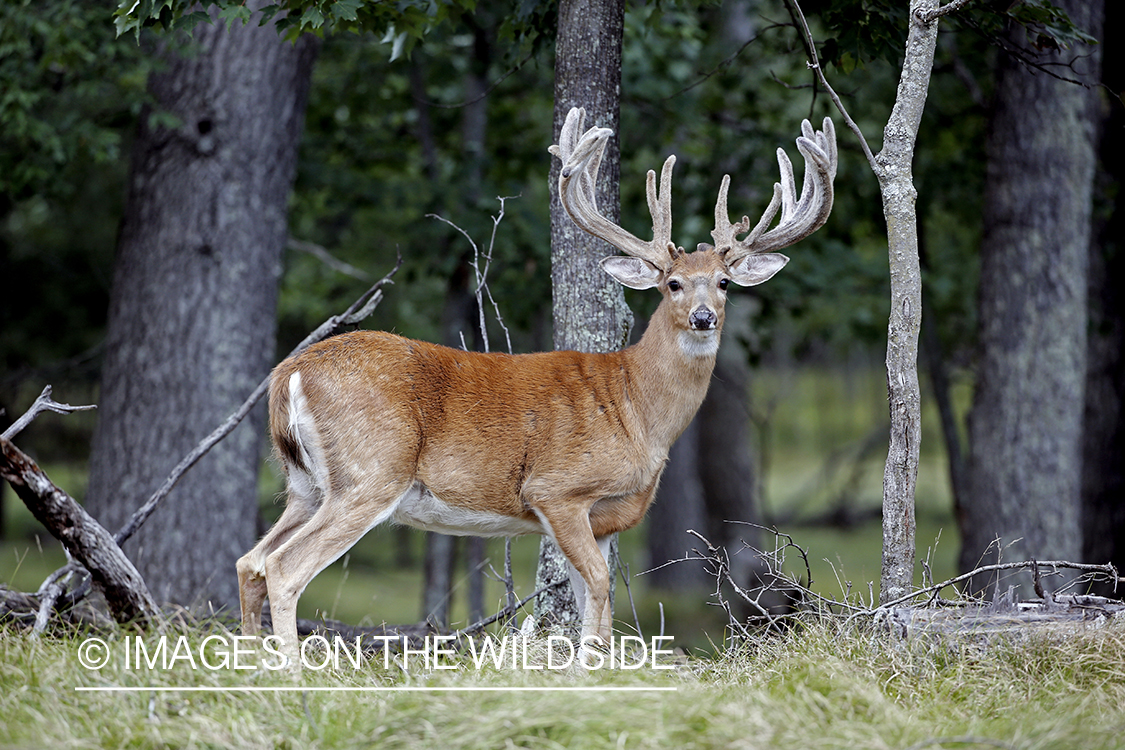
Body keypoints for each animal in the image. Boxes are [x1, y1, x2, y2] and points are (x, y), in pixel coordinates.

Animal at [237, 106, 837, 670]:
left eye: (725, 282)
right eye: (672, 284)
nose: (704, 317)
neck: (637, 408)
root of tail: (288, 373)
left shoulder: (605, 517)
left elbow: (595, 594)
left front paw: (595, 663)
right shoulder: (557, 489)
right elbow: (599, 587)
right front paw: (587, 667)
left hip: (306, 483)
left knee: (251, 561)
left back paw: (250, 664)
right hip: (372, 471)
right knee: (283, 567)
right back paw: (294, 672)